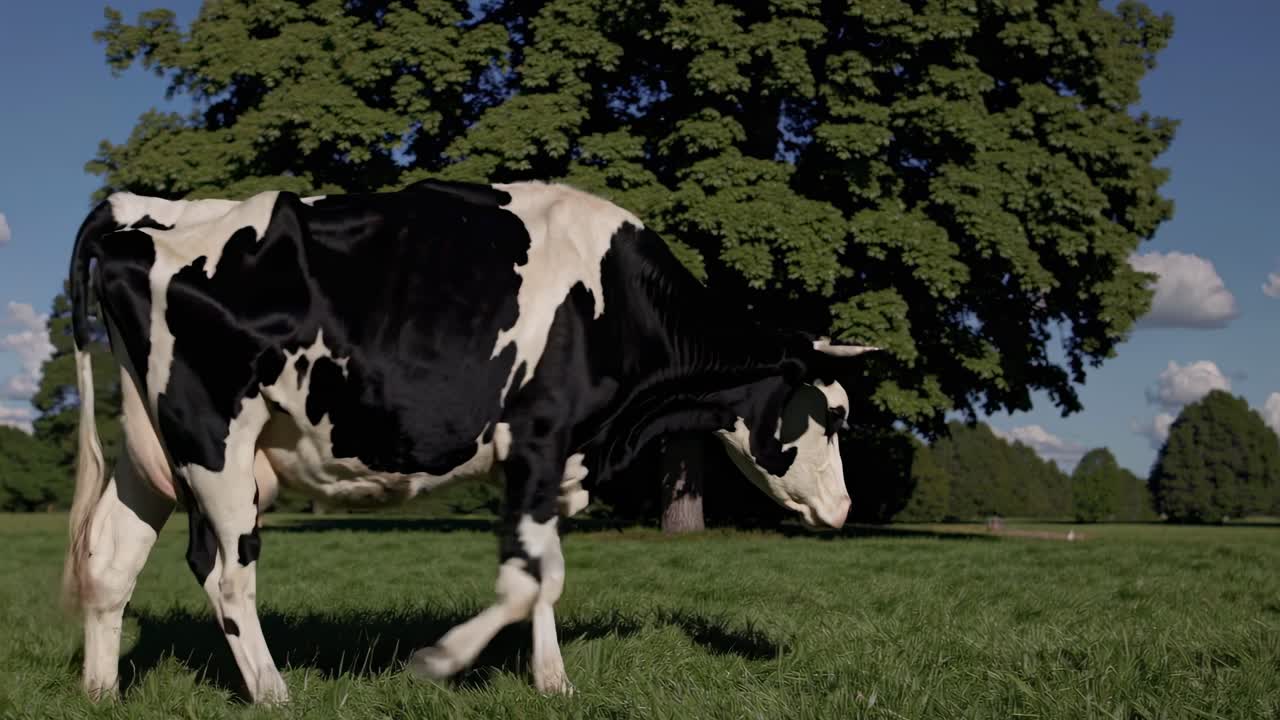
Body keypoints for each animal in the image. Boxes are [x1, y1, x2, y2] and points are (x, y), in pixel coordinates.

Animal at [61, 179, 878, 704]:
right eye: (835, 416)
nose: (845, 509)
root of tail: (142, 211)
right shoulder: (540, 438)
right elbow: (524, 582)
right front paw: (439, 660)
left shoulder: (550, 464)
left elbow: (544, 575)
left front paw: (554, 683)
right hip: (214, 440)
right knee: (225, 571)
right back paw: (273, 694)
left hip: (150, 450)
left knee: (109, 559)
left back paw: (102, 693)